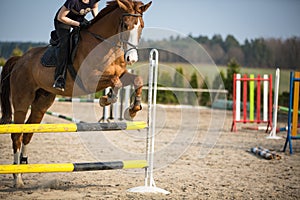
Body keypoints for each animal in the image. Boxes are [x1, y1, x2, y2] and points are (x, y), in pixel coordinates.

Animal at [0, 0, 150, 188]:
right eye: (125, 25)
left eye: (141, 26)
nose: (132, 59)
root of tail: (20, 60)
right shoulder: (89, 79)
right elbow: (115, 81)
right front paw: (106, 99)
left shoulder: (121, 73)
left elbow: (136, 80)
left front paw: (133, 109)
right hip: (22, 102)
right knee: (17, 135)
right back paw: (17, 178)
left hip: (42, 103)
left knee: (28, 133)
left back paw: (24, 168)